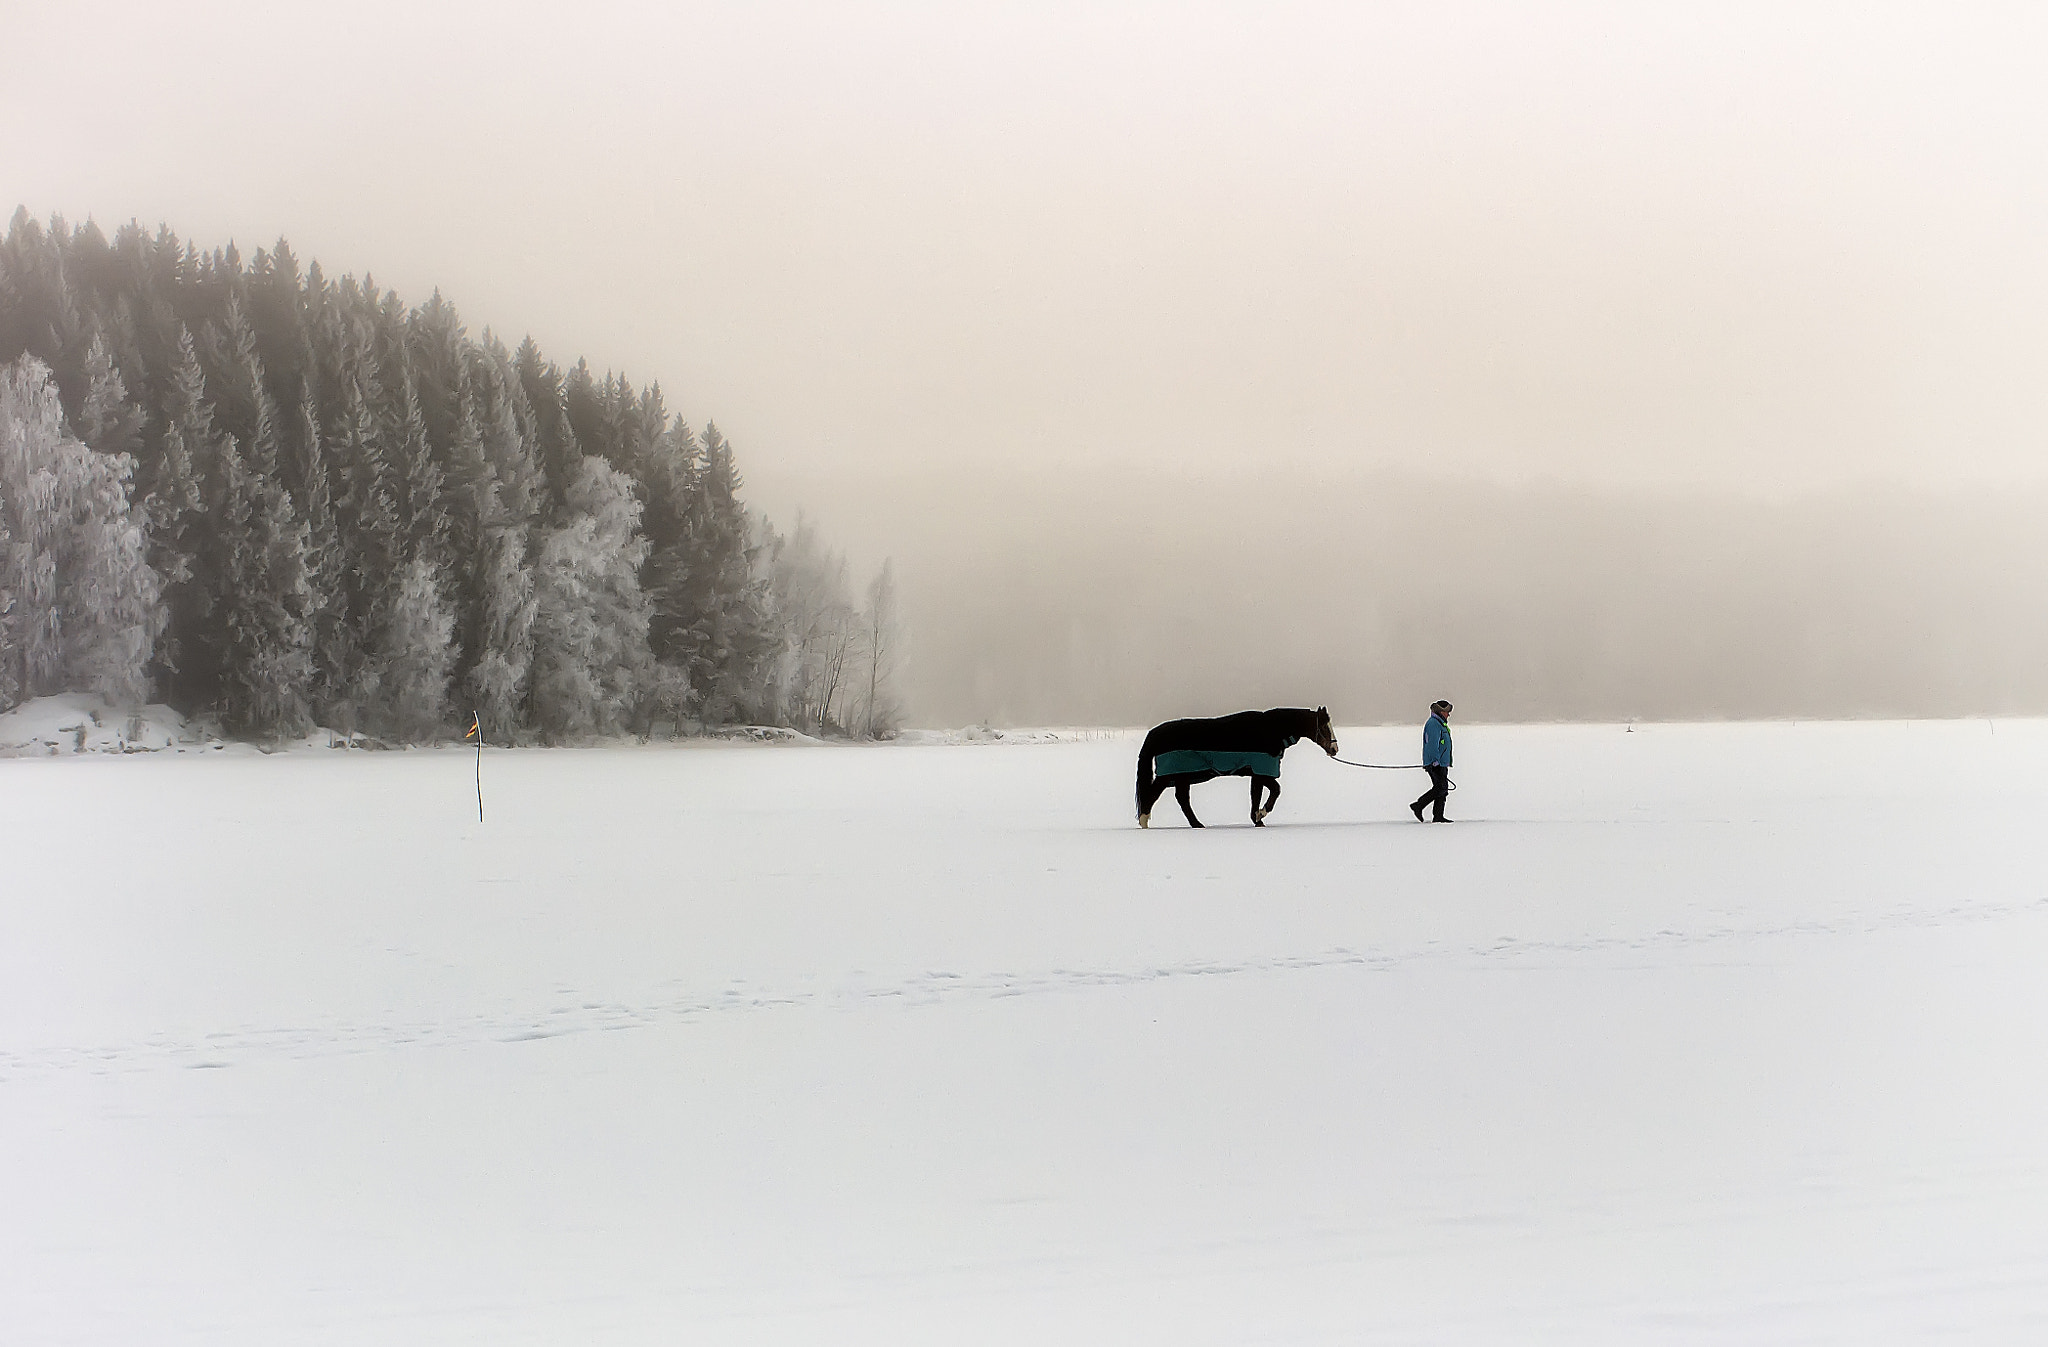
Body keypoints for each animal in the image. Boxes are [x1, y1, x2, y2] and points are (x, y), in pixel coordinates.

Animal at [1138, 708, 1343, 822]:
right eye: (1323, 726)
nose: (1334, 749)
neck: (1272, 730)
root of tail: (1155, 733)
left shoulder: (1258, 773)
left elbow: (1261, 794)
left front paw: (1257, 818)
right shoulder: (1262, 771)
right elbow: (1271, 791)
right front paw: (1260, 815)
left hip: (1181, 777)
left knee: (1181, 800)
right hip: (1169, 775)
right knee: (1151, 796)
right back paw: (1144, 822)